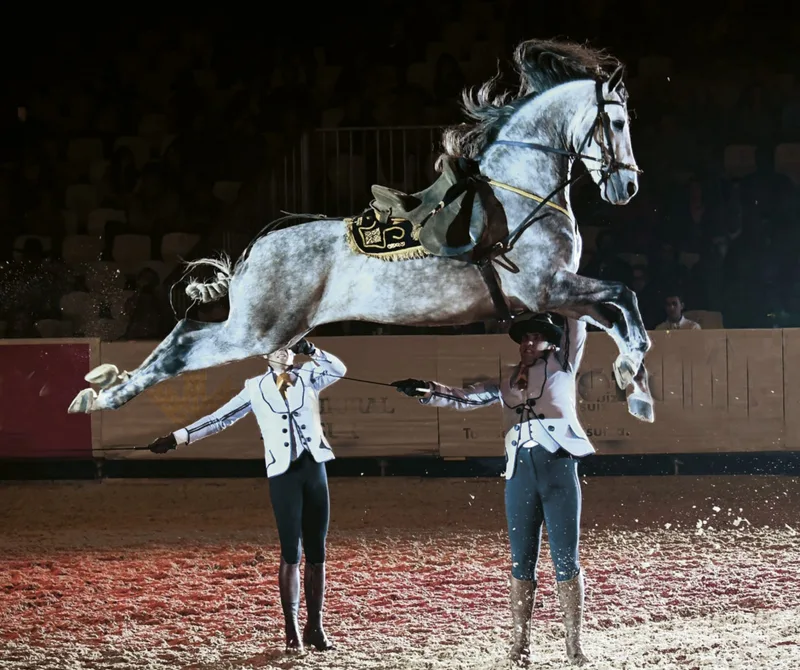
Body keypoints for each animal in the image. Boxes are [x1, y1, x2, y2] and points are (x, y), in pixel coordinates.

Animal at [68, 38, 655, 423]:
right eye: (618, 123)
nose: (626, 187)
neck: (518, 193)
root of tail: (254, 252)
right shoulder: (546, 287)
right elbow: (626, 298)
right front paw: (632, 374)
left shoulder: (560, 294)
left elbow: (616, 315)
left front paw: (636, 387)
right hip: (260, 331)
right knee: (182, 343)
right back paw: (104, 395)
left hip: (269, 330)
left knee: (182, 336)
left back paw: (101, 391)